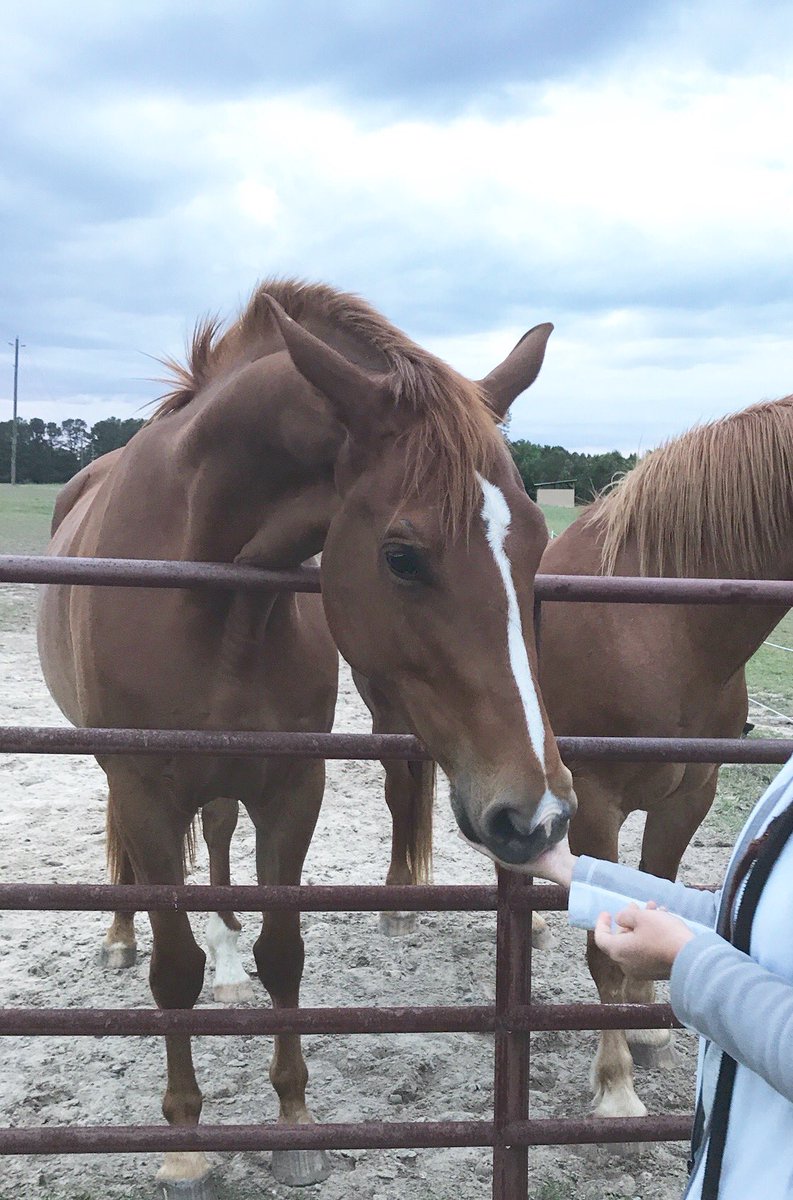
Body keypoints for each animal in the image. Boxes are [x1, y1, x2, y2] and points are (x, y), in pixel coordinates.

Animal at [36, 279, 575, 1195]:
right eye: (402, 556)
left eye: (536, 541)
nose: (534, 813)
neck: (209, 591)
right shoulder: (144, 791)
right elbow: (171, 968)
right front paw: (186, 1144)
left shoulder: (293, 784)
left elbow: (283, 950)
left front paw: (293, 1122)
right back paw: (120, 936)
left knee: (219, 841)